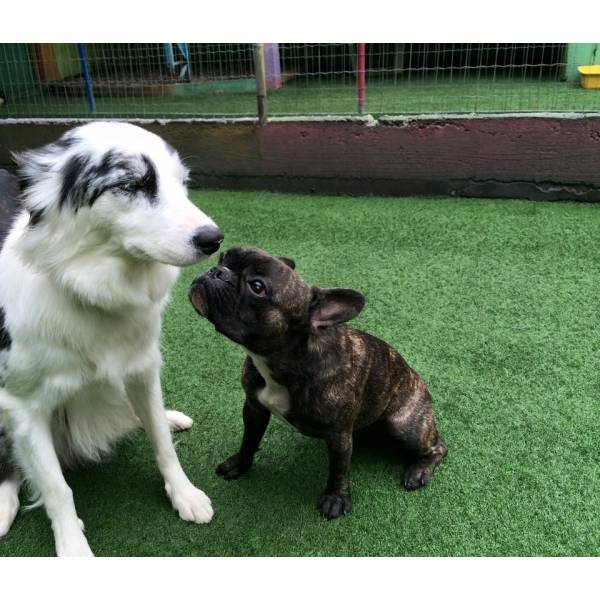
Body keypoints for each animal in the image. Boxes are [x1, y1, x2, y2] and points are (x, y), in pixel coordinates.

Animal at [0, 123, 221, 556]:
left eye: (183, 183)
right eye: (131, 184)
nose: (214, 239)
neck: (90, 287)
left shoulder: (142, 368)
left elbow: (161, 444)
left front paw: (184, 494)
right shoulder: (22, 407)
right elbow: (56, 488)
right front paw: (73, 549)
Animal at [190, 246, 448, 516]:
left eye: (257, 286)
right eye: (223, 258)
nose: (217, 271)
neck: (281, 360)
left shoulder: (338, 435)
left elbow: (339, 469)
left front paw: (336, 499)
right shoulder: (254, 407)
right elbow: (249, 440)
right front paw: (239, 464)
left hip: (403, 427)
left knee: (439, 447)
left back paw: (418, 470)